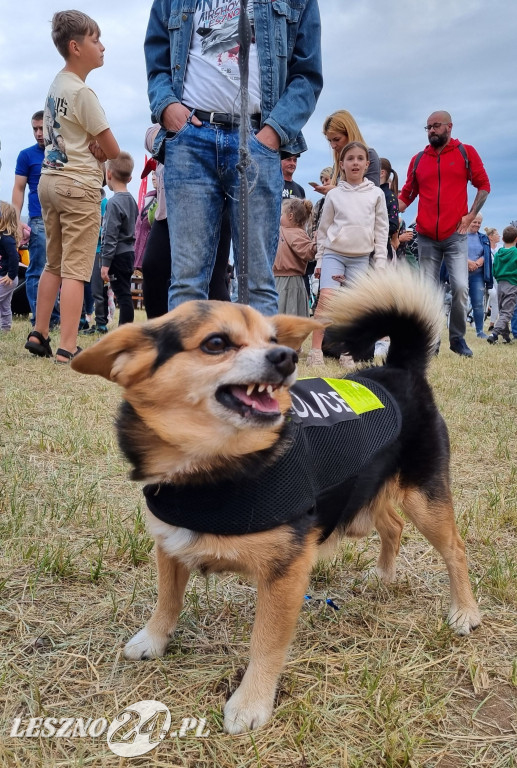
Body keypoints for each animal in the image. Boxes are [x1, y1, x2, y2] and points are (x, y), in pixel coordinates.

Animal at [71, 268, 480, 732]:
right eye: (216, 343)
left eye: (271, 338)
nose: (286, 356)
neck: (210, 470)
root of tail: (398, 367)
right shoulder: (170, 543)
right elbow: (167, 599)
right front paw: (153, 639)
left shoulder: (286, 572)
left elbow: (265, 642)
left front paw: (251, 702)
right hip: (370, 486)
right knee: (392, 526)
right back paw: (382, 575)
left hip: (423, 497)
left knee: (454, 549)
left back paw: (465, 612)